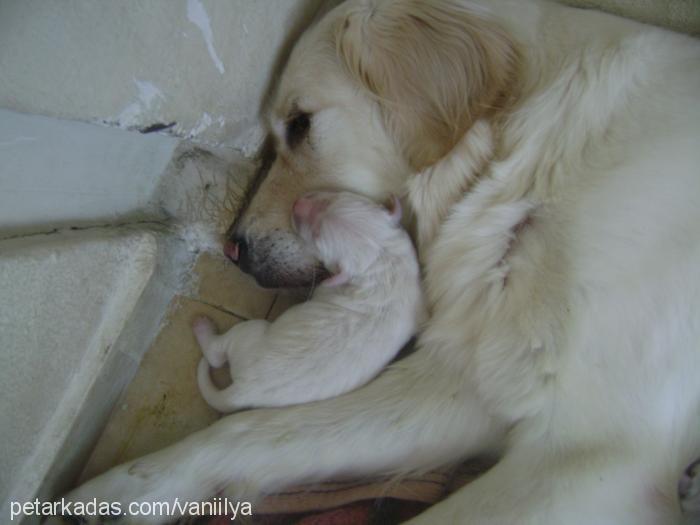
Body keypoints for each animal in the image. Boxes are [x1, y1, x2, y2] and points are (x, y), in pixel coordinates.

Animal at [191, 190, 422, 412]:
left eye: (316, 237)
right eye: (333, 198)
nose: (298, 203)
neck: (382, 257)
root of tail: (242, 391)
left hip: (248, 334)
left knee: (217, 353)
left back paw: (202, 326)